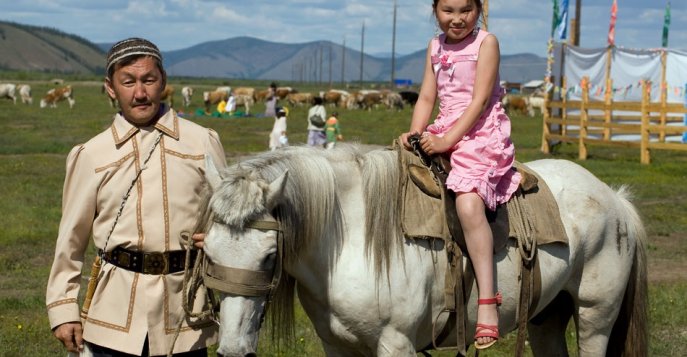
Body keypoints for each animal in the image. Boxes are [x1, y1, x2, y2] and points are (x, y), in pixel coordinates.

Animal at [202, 145, 648, 356]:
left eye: (269, 257)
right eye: (208, 254)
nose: (231, 351)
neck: (348, 241)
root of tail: (615, 198)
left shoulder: (395, 345)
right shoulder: (338, 347)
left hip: (594, 317)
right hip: (546, 318)